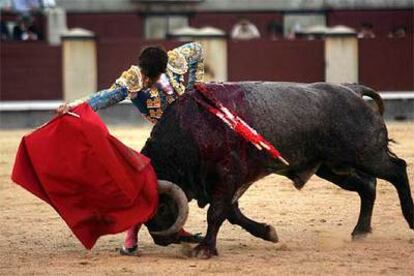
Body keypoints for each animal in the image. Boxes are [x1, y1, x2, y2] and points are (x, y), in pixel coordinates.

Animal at [142, 82, 410, 258]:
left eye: (162, 207)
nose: (161, 239)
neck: (189, 133)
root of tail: (352, 90)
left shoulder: (227, 177)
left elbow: (217, 213)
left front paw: (204, 249)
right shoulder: (226, 184)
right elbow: (232, 213)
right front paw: (268, 232)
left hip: (366, 155)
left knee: (397, 171)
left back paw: (411, 219)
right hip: (333, 168)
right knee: (367, 186)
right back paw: (360, 231)